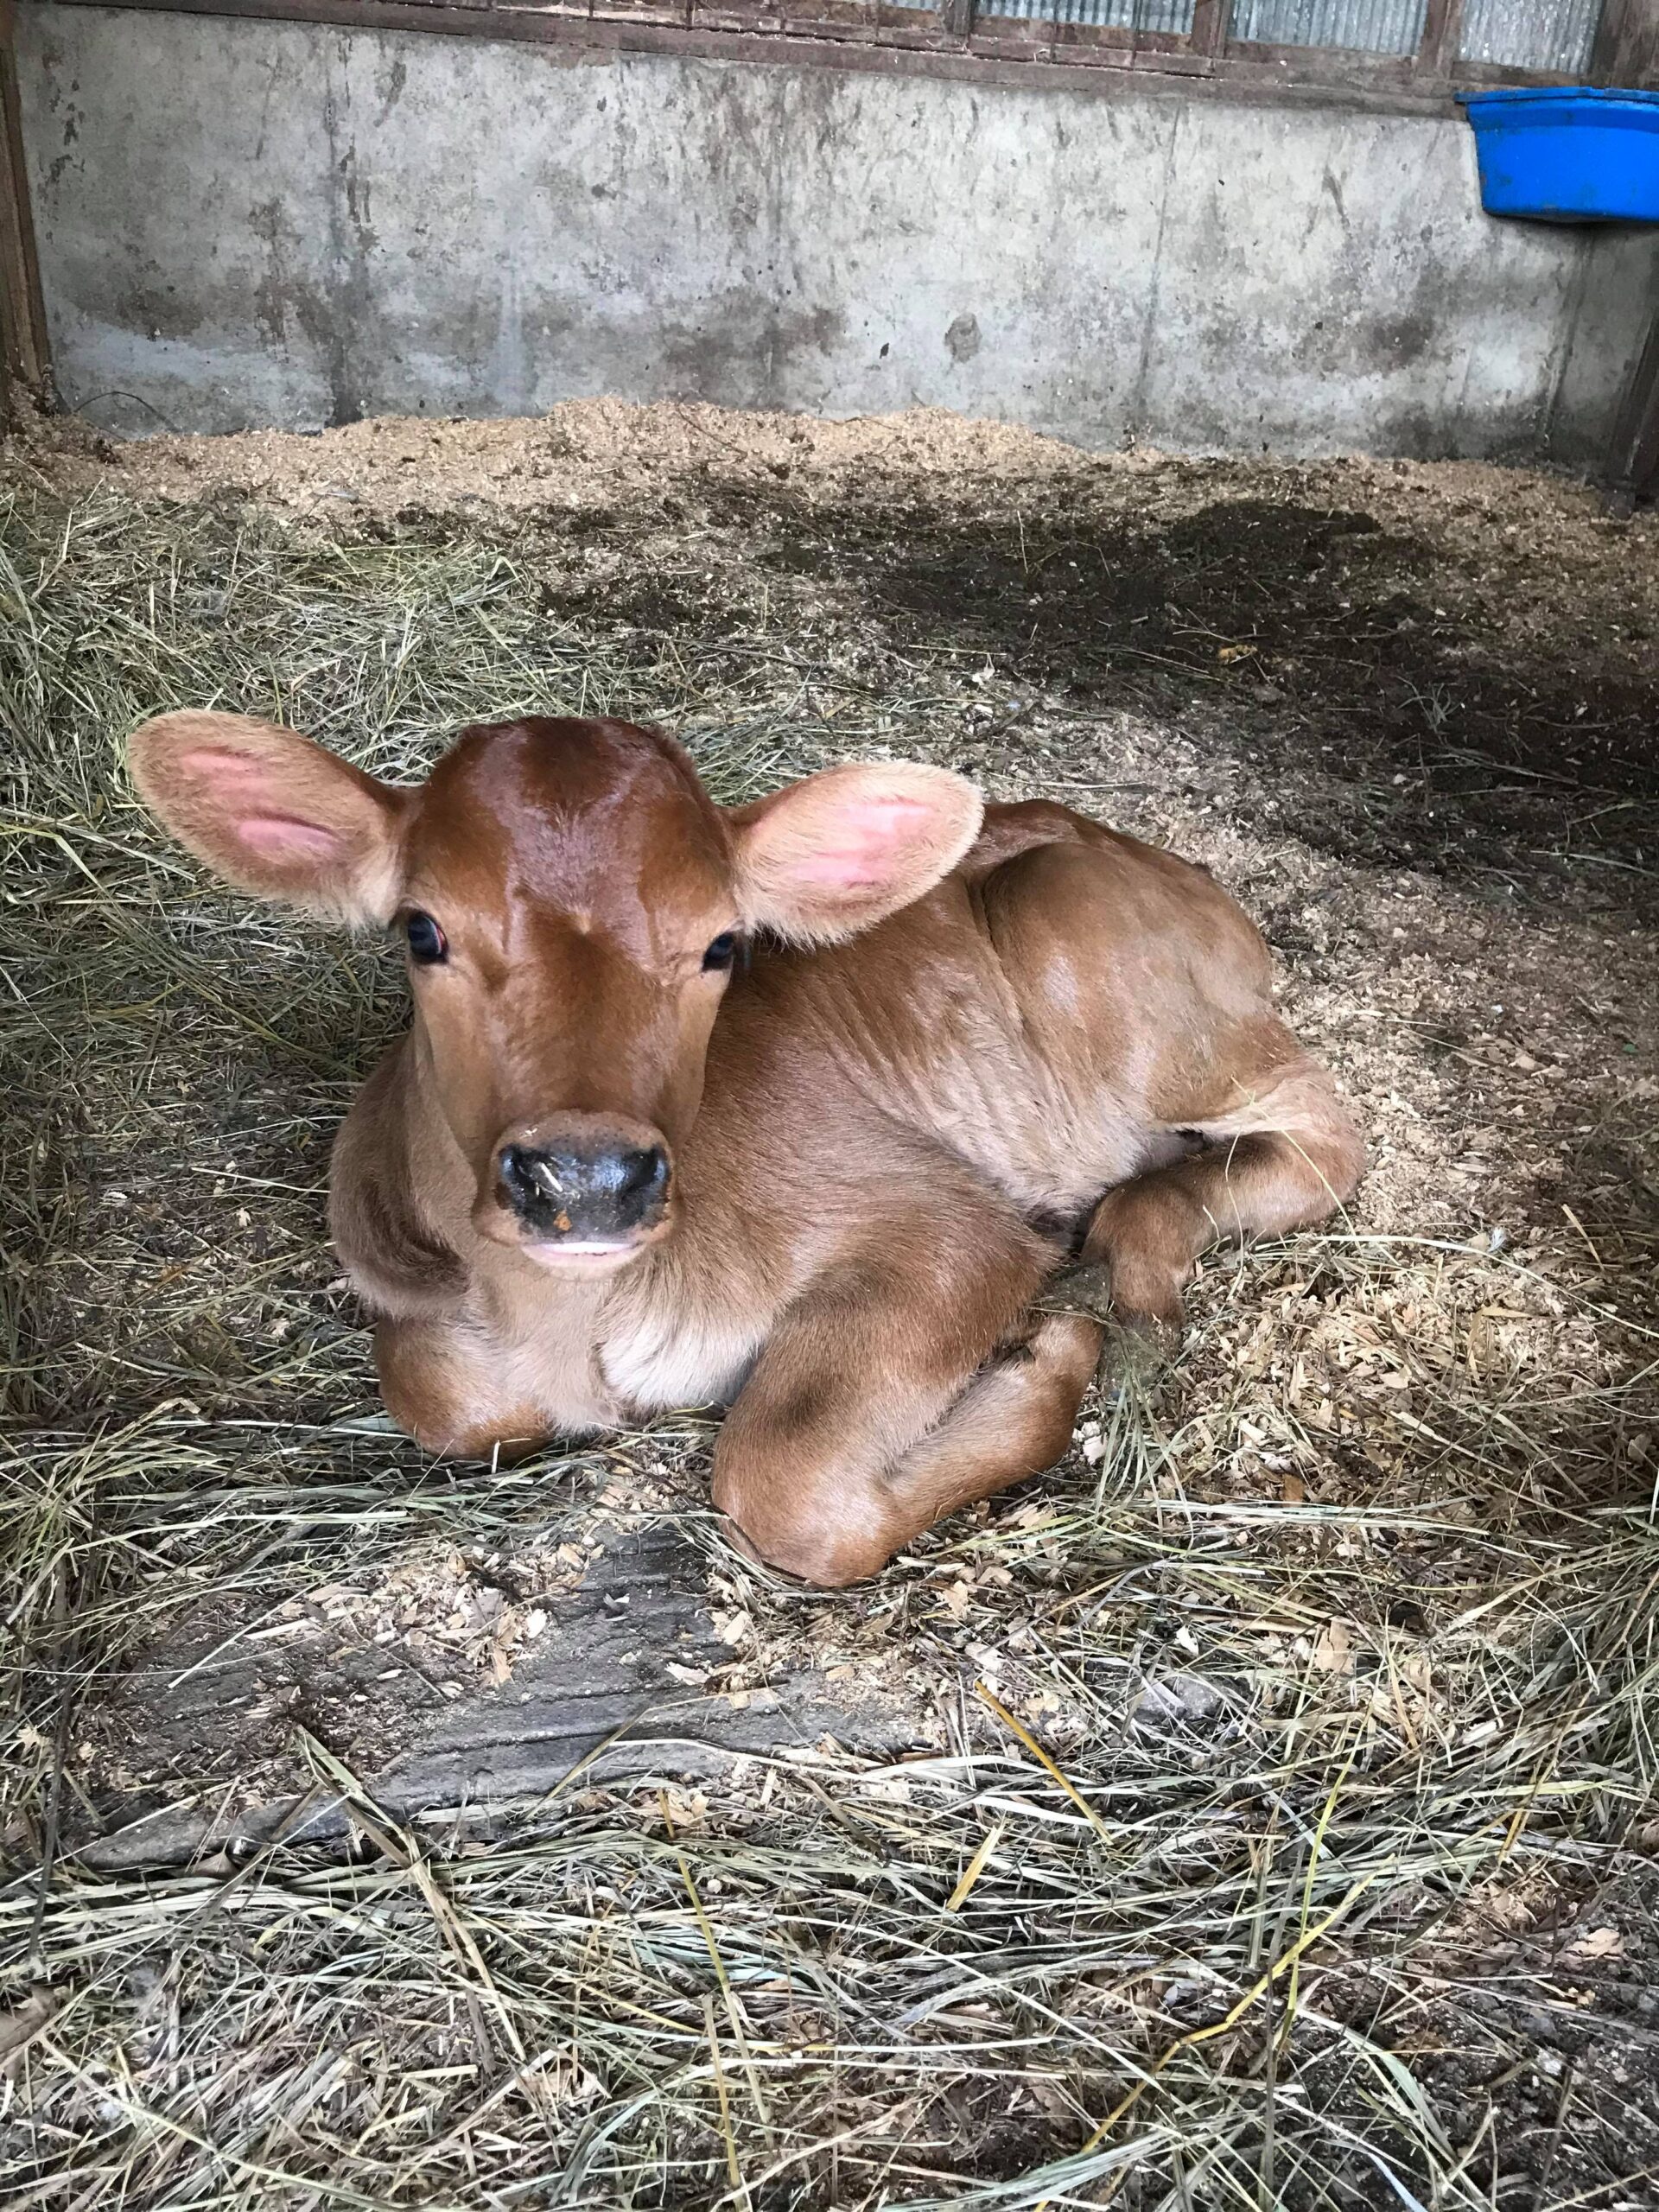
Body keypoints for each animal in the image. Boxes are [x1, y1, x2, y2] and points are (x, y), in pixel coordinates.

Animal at [129, 712, 1363, 1586]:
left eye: (724, 943)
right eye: (422, 930)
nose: (587, 1179)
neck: (573, 1324)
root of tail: (1177, 869)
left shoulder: (942, 1225)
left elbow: (784, 1484)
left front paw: (1047, 1356)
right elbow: (440, 1396)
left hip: (1093, 952)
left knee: (1324, 1131)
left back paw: (1136, 1252)